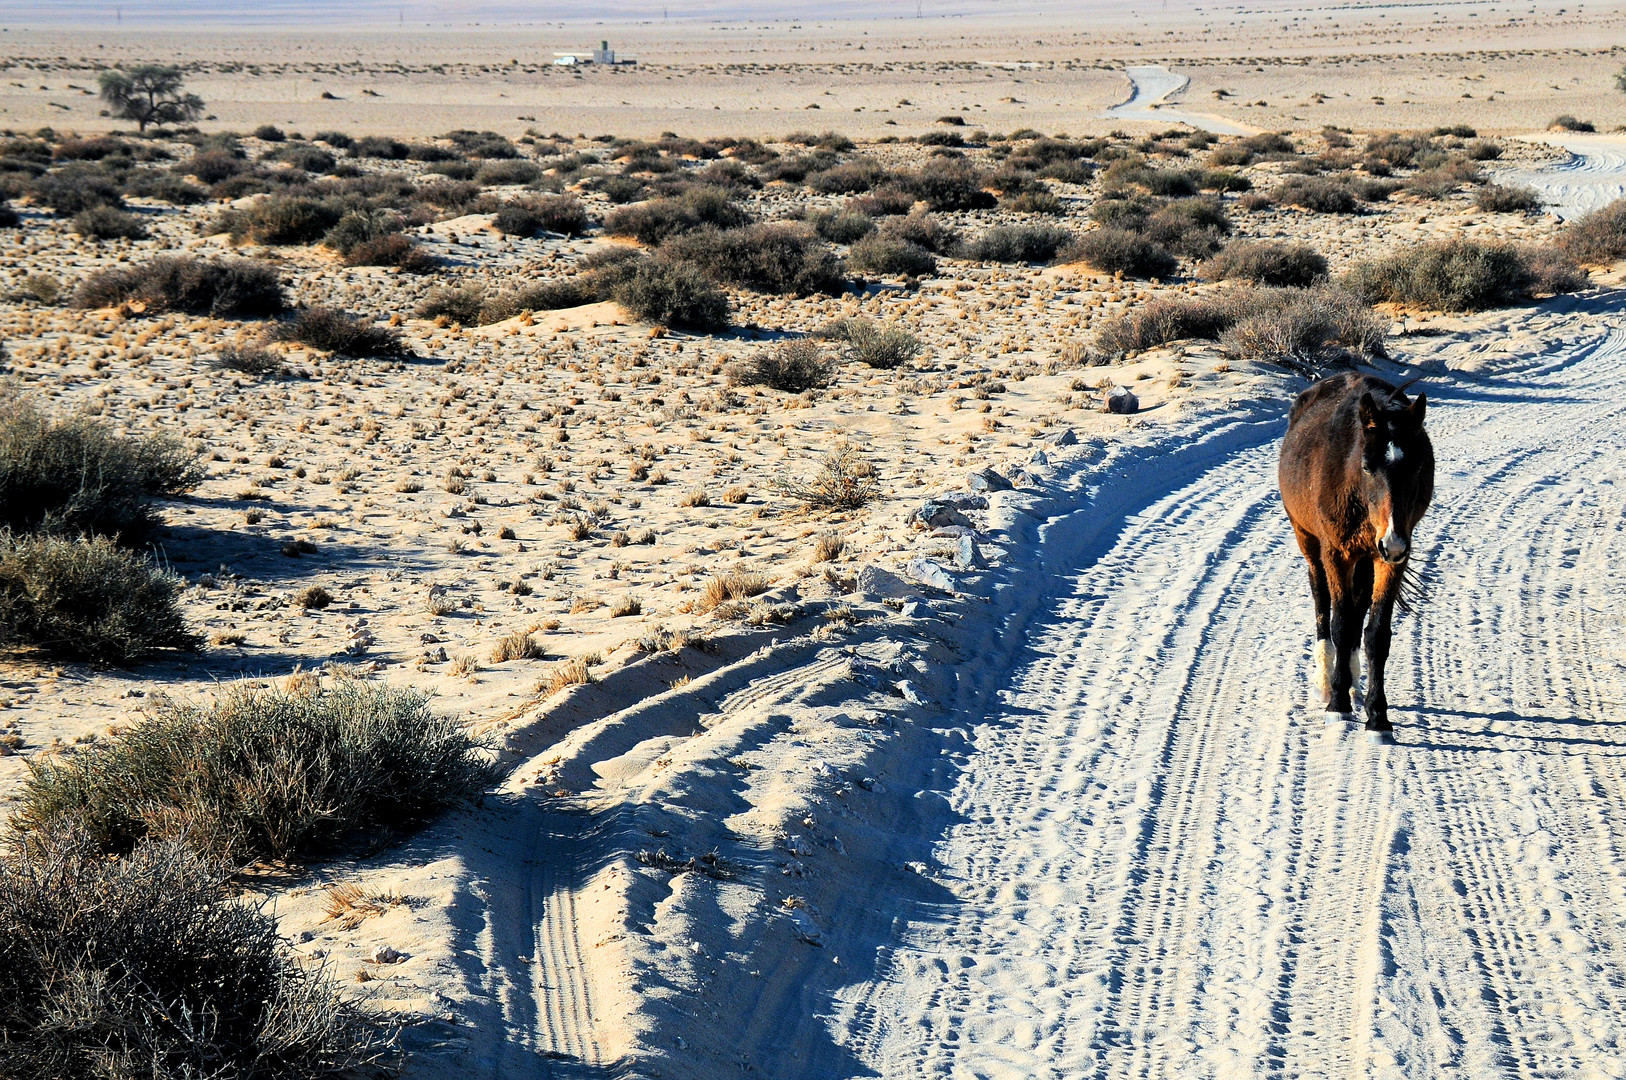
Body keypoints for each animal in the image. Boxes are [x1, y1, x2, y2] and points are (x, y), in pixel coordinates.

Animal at [1281, 374, 1437, 741]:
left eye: (1418, 466)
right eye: (1367, 466)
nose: (1393, 540)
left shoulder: (1390, 559)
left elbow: (1376, 634)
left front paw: (1377, 717)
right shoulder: (1337, 553)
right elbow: (1339, 623)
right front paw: (1337, 704)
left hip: (1369, 555)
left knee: (1358, 607)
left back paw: (1352, 685)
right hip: (1308, 540)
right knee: (1322, 600)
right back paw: (1328, 683)